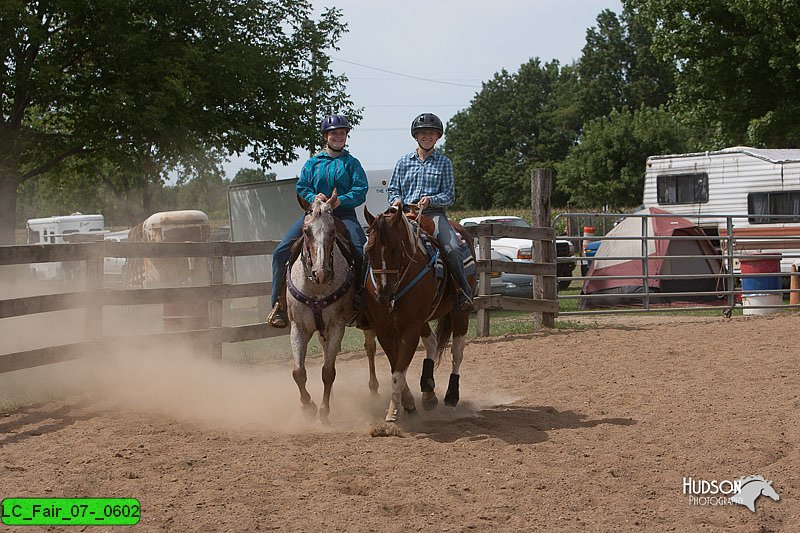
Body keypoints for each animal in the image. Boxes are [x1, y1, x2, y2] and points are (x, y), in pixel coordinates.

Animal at [364, 206, 476, 422]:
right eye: (369, 250)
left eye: (395, 249)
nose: (383, 294)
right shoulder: (384, 329)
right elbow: (396, 368)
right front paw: (405, 404)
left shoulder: (410, 328)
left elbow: (398, 374)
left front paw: (392, 413)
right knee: (432, 342)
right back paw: (428, 391)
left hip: (459, 312)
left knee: (457, 352)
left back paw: (451, 397)